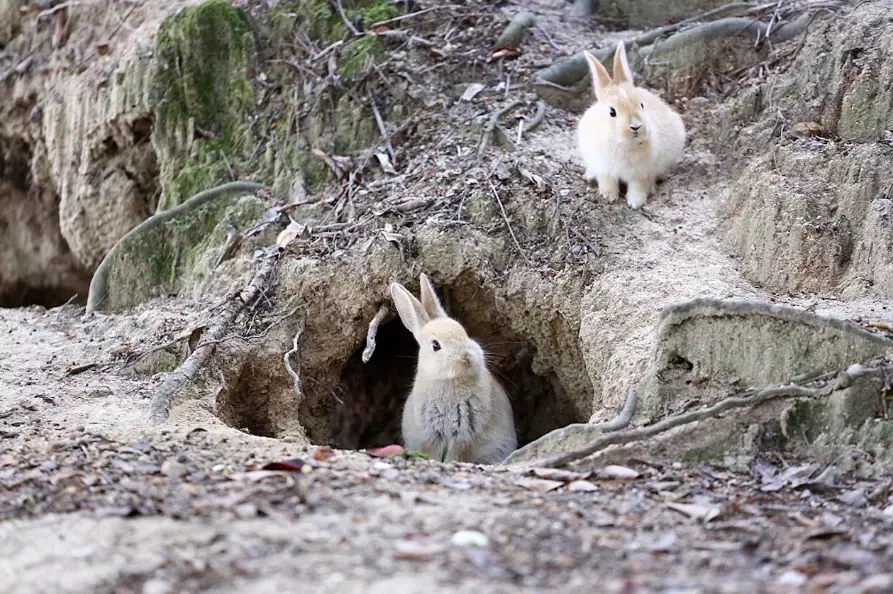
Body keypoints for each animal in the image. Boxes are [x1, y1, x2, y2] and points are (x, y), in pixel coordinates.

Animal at [389, 273, 517, 464]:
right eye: (435, 345)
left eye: (464, 332)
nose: (467, 358)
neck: (448, 380)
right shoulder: (432, 432)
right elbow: (433, 451)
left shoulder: (465, 433)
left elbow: (457, 454)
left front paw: (450, 462)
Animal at [576, 40, 686, 209]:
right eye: (612, 111)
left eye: (641, 105)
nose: (636, 126)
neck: (623, 144)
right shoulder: (604, 169)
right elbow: (607, 181)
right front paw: (609, 197)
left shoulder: (640, 172)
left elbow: (638, 186)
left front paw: (636, 202)